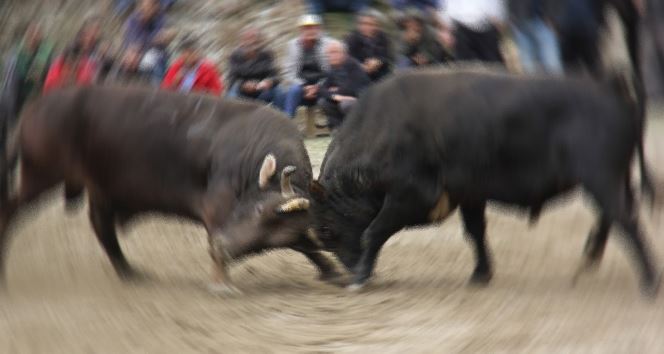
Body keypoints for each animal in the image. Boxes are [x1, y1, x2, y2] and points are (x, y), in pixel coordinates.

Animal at [0, 86, 340, 294]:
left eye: (268, 221)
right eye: (256, 209)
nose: (221, 246)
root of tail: (35, 109)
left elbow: (304, 244)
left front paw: (330, 270)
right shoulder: (216, 208)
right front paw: (220, 282)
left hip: (98, 190)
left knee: (102, 228)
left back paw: (130, 272)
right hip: (40, 175)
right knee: (12, 209)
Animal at [310, 69, 660, 296]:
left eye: (326, 231)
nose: (348, 271)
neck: (382, 130)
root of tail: (613, 89)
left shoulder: (410, 197)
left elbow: (372, 232)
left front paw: (360, 278)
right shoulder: (469, 194)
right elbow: (475, 232)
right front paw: (481, 273)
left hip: (600, 177)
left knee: (624, 218)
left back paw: (649, 280)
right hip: (612, 179)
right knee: (614, 215)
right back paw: (590, 258)